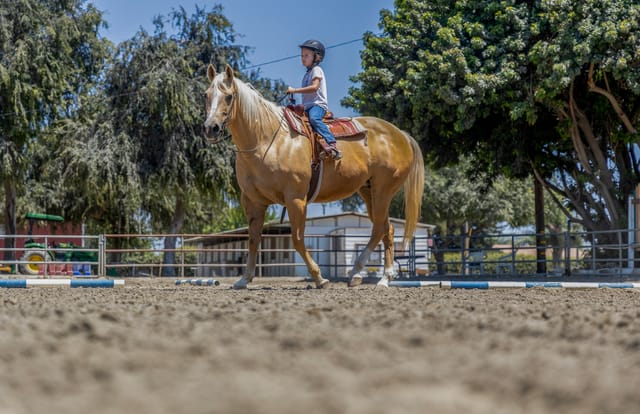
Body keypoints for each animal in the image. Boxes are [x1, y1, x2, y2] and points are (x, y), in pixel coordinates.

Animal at [205, 65, 424, 292]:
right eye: (206, 95)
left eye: (229, 96)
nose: (210, 128)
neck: (266, 141)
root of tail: (400, 135)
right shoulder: (253, 201)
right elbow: (253, 239)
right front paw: (244, 279)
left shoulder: (295, 199)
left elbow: (298, 239)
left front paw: (320, 278)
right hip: (369, 191)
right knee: (385, 229)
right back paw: (371, 276)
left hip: (383, 190)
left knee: (379, 228)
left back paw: (370, 275)